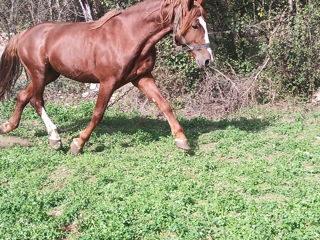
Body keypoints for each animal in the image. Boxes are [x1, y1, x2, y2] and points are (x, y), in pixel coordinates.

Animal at [0, 0, 215, 154]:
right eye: (195, 26)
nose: (207, 60)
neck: (129, 36)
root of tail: (24, 34)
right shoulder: (108, 82)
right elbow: (98, 114)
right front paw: (78, 144)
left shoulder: (142, 78)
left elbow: (164, 105)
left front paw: (182, 140)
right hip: (39, 73)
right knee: (37, 101)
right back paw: (55, 138)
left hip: (49, 75)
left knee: (22, 96)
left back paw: (8, 126)